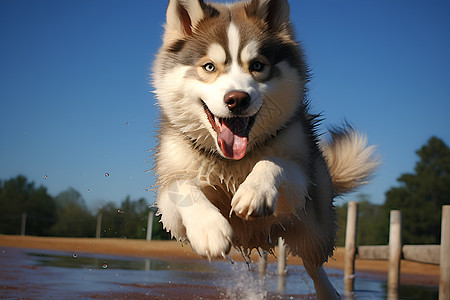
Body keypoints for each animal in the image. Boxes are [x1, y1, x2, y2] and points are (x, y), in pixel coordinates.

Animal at [153, 0, 378, 298]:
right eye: (209, 67)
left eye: (257, 66)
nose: (237, 99)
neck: (232, 162)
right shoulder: (170, 201)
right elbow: (182, 187)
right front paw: (208, 229)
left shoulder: (298, 182)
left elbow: (273, 162)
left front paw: (254, 192)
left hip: (313, 229)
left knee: (314, 265)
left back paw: (328, 291)